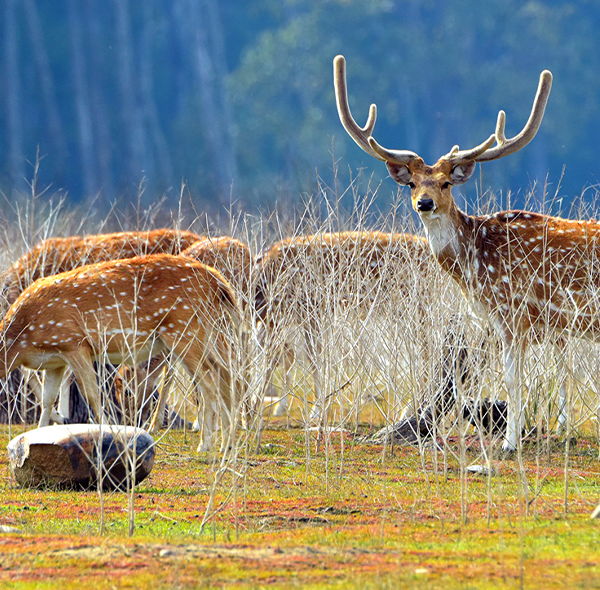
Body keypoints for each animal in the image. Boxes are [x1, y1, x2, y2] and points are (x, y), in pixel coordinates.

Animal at [0, 254, 244, 454]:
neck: (21, 341)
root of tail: (218, 282)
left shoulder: (75, 343)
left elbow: (92, 394)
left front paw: (110, 432)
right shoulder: (54, 361)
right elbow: (48, 401)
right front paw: (35, 438)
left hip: (183, 329)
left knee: (210, 381)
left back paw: (207, 444)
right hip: (209, 332)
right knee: (228, 374)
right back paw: (227, 444)